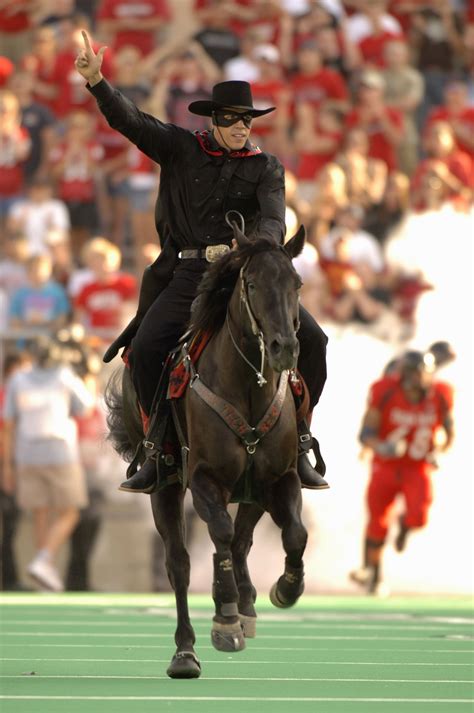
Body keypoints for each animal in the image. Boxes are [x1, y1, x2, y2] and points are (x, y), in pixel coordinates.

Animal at [105, 224, 310, 680]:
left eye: (297, 283)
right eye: (251, 284)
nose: (285, 347)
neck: (248, 387)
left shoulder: (280, 478)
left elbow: (294, 534)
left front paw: (286, 589)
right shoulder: (203, 480)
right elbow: (219, 533)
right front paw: (225, 616)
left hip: (253, 491)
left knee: (244, 540)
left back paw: (248, 603)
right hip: (164, 487)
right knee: (180, 563)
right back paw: (186, 651)